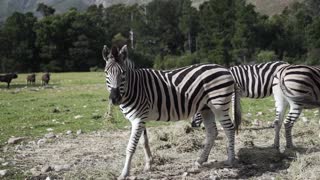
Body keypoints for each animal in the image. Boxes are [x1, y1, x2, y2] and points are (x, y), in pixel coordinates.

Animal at [102, 44, 240, 179]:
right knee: (212, 132)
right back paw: (200, 161)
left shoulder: (138, 118)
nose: (114, 98)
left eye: (123, 73)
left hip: (219, 105)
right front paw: (149, 164)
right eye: (106, 72)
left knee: (229, 128)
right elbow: (143, 142)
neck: (135, 87)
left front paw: (124, 173)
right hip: (206, 108)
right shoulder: (140, 118)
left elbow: (131, 146)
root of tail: (225, 69)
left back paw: (230, 160)